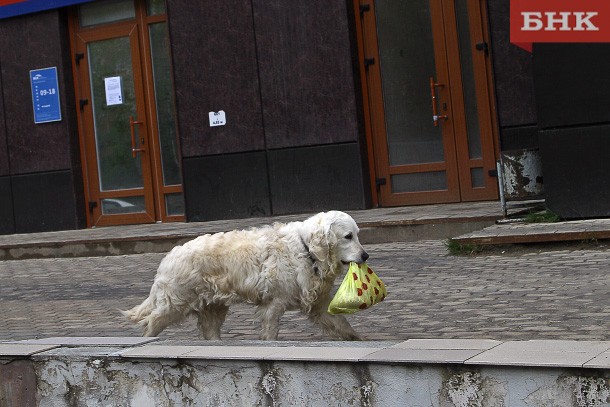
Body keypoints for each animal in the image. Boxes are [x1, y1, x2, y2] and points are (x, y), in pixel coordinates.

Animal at [121, 210, 368, 342]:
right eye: (348, 236)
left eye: (357, 234)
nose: (365, 255)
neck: (307, 249)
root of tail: (168, 257)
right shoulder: (273, 304)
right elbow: (270, 332)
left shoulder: (318, 305)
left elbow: (342, 325)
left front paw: (358, 339)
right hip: (176, 303)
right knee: (151, 322)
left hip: (213, 307)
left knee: (210, 331)